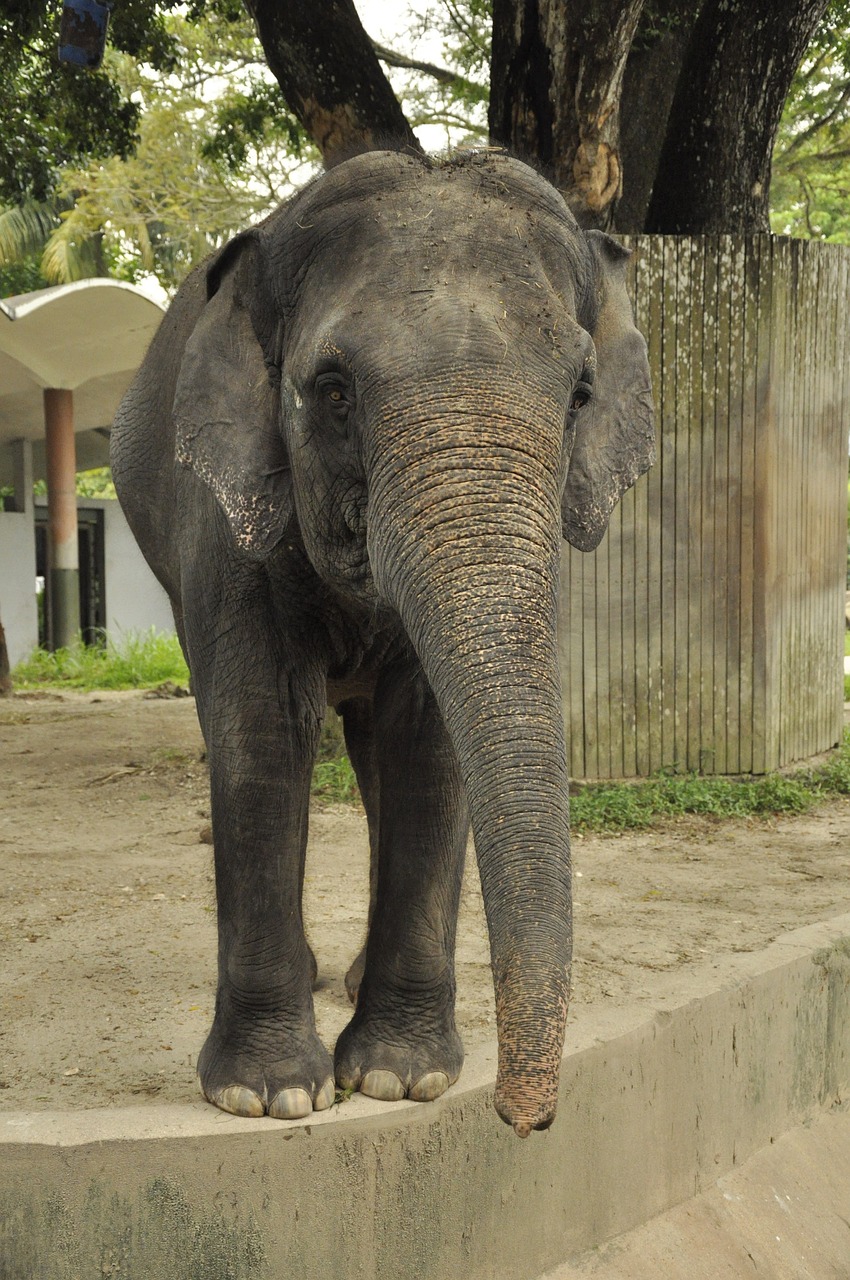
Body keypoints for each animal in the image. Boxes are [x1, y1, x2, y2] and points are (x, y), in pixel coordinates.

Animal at [112, 149, 652, 1141]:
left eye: (581, 395)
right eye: (332, 391)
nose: (525, 1121)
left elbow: (425, 745)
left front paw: (405, 1080)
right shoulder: (225, 523)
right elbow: (259, 733)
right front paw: (269, 1095)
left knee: (372, 755)